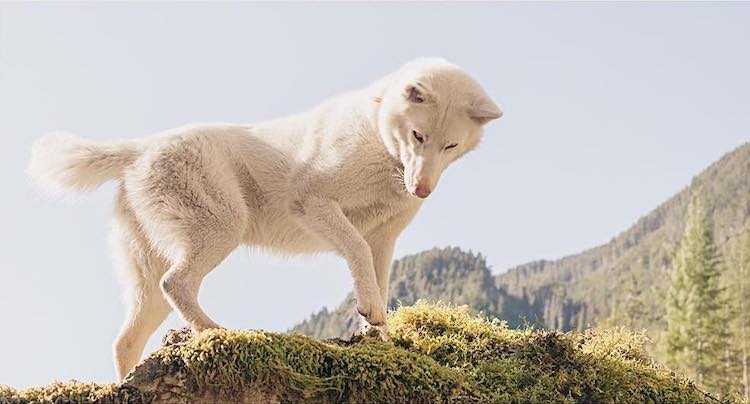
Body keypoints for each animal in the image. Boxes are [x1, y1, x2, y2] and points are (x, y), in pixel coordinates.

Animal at [27, 58, 506, 380]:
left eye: (451, 146)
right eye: (418, 136)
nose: (421, 189)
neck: (379, 139)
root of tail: (140, 148)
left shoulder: (383, 239)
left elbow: (377, 282)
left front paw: (380, 335)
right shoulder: (313, 202)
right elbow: (355, 252)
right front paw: (369, 313)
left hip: (148, 269)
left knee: (127, 338)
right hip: (221, 227)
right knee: (177, 284)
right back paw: (218, 332)